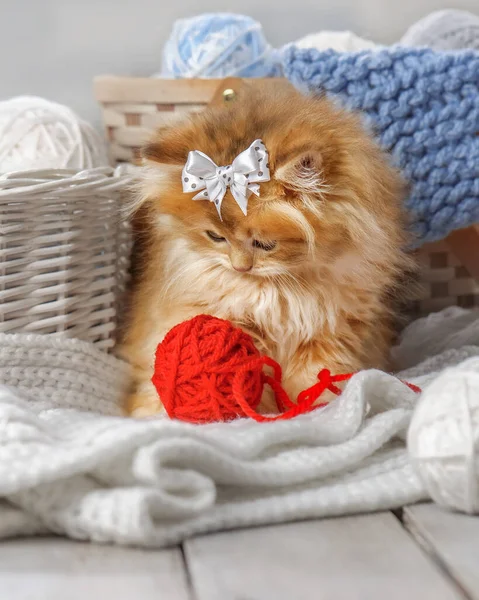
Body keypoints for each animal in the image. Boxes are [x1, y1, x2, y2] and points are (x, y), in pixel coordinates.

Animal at [119, 79, 412, 418]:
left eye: (264, 244)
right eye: (215, 237)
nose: (240, 266)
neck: (280, 292)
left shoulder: (332, 331)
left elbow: (314, 379)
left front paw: (316, 409)